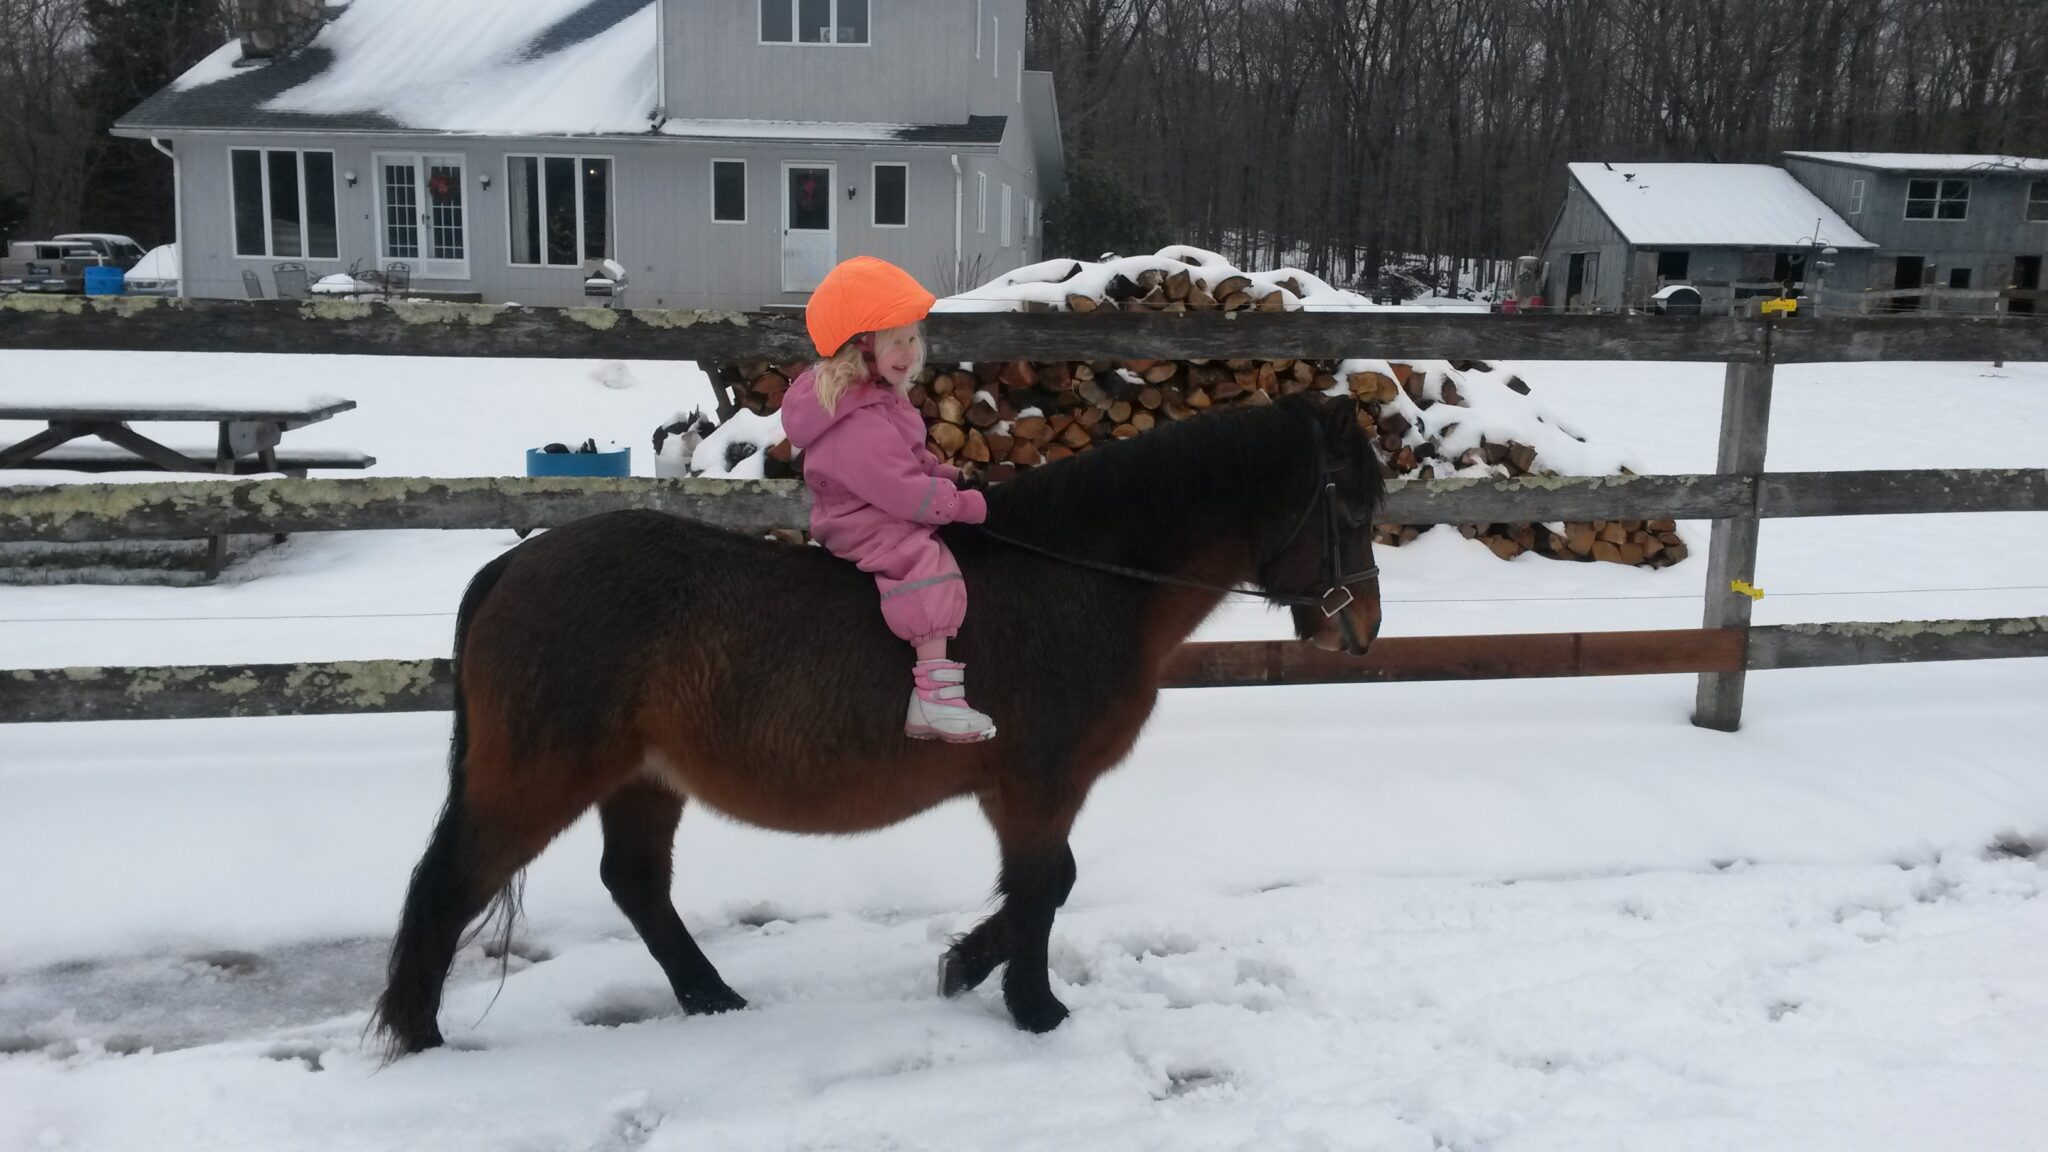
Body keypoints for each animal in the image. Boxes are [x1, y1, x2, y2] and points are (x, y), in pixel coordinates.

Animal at [370, 391, 1385, 1058]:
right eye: (1356, 502)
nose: (1364, 629)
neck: (1081, 577)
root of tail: (516, 565)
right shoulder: (1039, 783)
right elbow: (1044, 886)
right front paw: (1032, 1006)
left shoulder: (1023, 789)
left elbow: (1045, 885)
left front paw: (969, 966)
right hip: (539, 777)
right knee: (449, 885)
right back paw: (421, 1038)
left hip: (644, 778)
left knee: (636, 885)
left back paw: (713, 997)